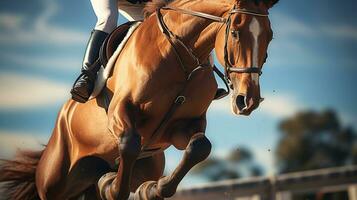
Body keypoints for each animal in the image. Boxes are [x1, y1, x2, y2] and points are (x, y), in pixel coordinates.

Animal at [0, 0, 278, 199]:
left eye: (270, 36)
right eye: (236, 32)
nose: (247, 100)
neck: (182, 58)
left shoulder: (182, 127)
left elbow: (200, 146)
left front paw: (152, 189)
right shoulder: (119, 112)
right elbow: (130, 144)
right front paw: (110, 185)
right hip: (54, 181)